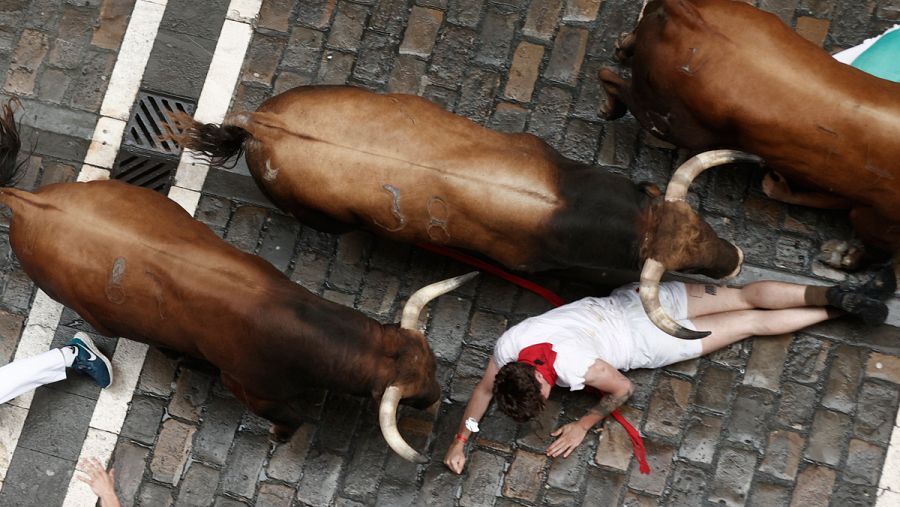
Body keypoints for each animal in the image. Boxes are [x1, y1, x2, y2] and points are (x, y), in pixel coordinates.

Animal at [0, 101, 478, 466]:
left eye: (432, 364)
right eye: (412, 394)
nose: (437, 398)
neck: (305, 327)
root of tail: (28, 201)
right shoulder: (252, 390)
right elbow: (293, 418)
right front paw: (278, 437)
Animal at [596, 0, 900, 278]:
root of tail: (686, 14)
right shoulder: (876, 221)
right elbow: (876, 250)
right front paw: (843, 257)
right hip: (670, 122)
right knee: (610, 78)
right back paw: (609, 107)